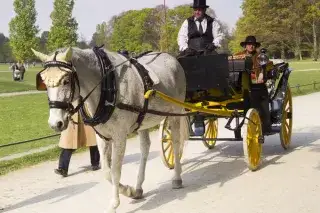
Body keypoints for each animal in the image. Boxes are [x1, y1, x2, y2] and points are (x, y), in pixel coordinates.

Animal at [31, 47, 189, 213]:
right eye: (44, 82)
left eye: (66, 80)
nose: (55, 123)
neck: (108, 87)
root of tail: (169, 56)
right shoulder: (102, 137)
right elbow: (106, 172)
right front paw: (128, 190)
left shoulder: (120, 137)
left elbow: (115, 169)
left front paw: (114, 203)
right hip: (143, 121)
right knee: (145, 148)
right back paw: (138, 188)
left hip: (175, 113)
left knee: (176, 142)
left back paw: (177, 178)